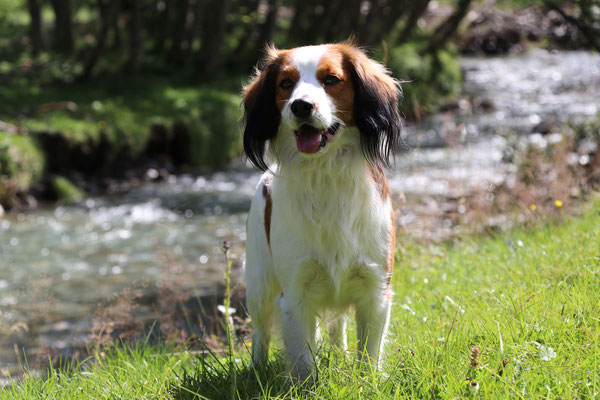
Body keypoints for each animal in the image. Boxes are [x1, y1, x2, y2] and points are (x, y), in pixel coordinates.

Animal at [241, 40, 400, 378]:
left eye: (331, 79)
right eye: (285, 83)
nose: (301, 106)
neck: (324, 174)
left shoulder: (375, 288)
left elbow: (369, 353)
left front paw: (367, 382)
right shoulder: (295, 294)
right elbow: (303, 361)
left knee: (337, 327)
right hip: (259, 284)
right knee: (260, 333)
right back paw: (256, 370)